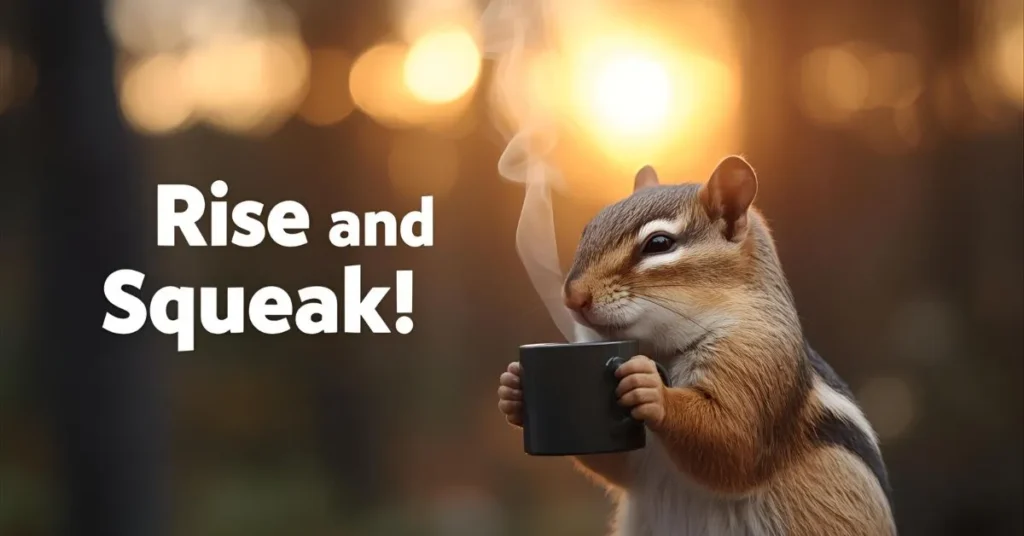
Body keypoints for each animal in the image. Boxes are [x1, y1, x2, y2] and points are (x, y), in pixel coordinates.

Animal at [497, 155, 896, 536]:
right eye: (588, 229)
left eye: (659, 243)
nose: (573, 297)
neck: (661, 349)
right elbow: (616, 464)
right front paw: (513, 389)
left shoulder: (760, 355)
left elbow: (735, 442)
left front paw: (652, 389)